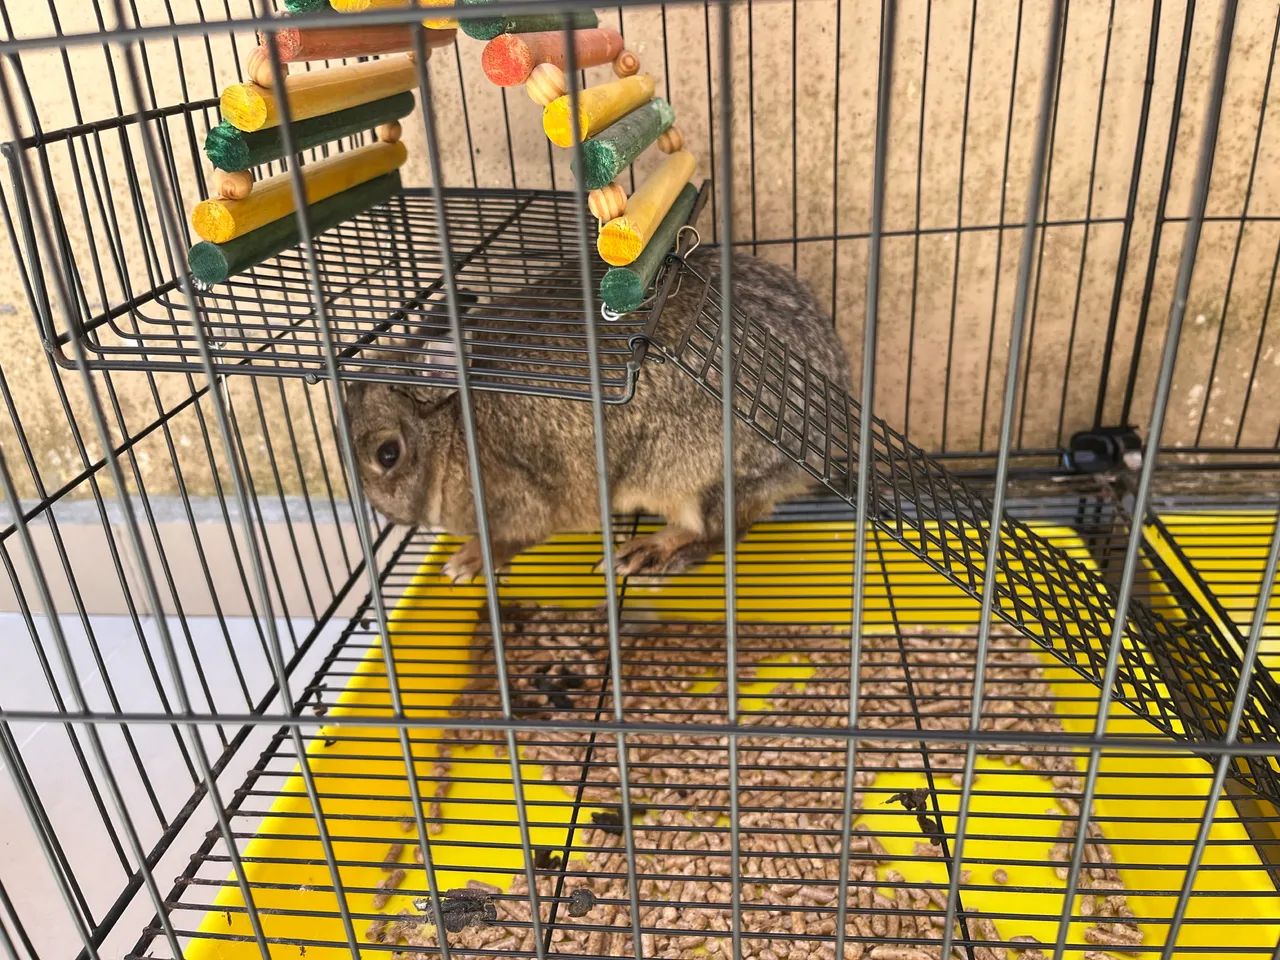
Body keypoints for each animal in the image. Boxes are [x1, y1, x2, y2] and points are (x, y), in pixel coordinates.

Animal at [343, 248, 851, 582]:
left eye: (387, 454)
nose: (385, 512)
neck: (450, 431)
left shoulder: (521, 500)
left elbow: (511, 538)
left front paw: (466, 562)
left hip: (696, 480)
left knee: (718, 532)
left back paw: (644, 555)